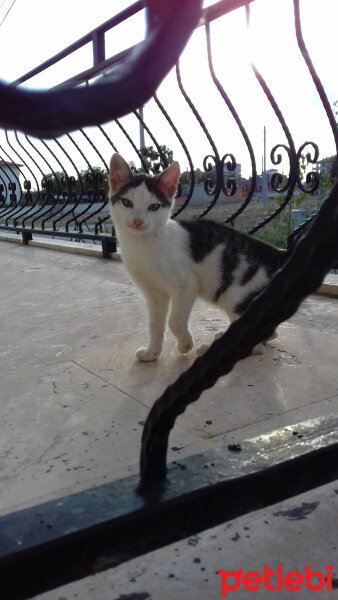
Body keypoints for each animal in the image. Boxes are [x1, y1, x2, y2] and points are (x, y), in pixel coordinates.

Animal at [109, 155, 286, 360]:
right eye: (127, 203)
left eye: (153, 207)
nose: (138, 221)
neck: (144, 243)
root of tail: (277, 254)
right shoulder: (154, 293)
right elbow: (155, 325)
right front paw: (152, 353)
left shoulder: (187, 286)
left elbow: (174, 321)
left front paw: (185, 345)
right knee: (271, 333)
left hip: (236, 297)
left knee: (258, 342)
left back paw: (212, 349)